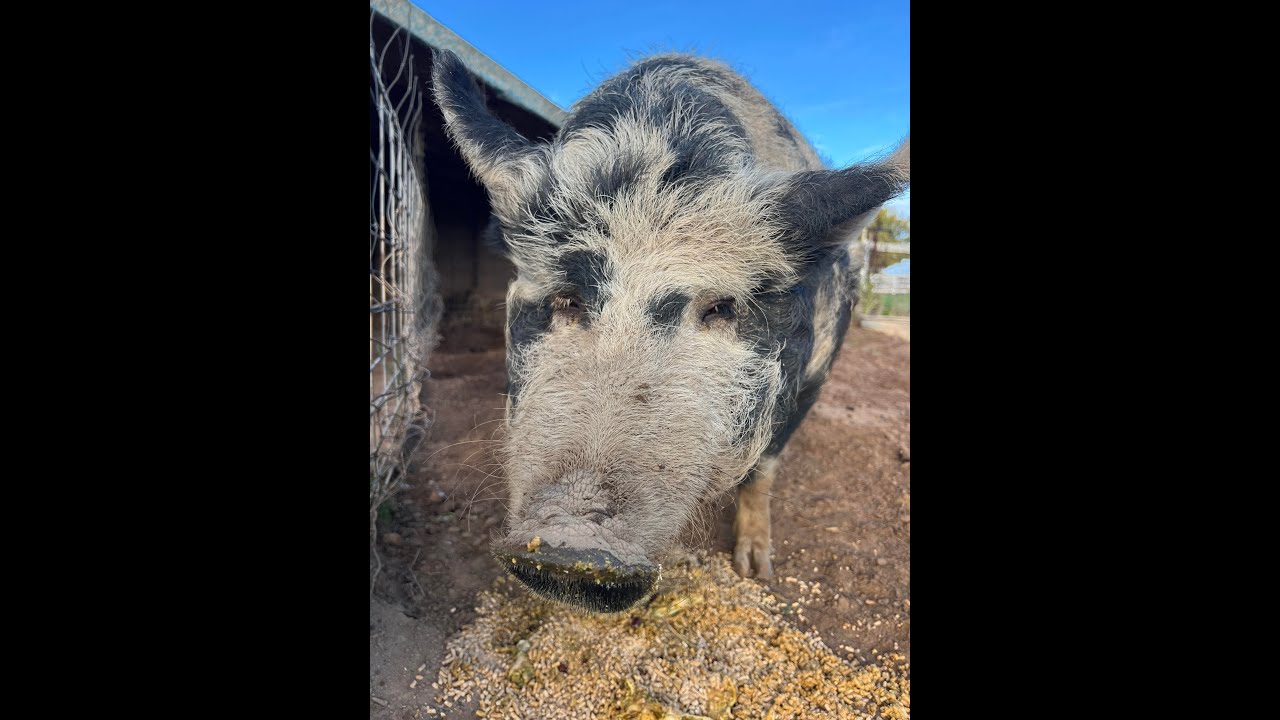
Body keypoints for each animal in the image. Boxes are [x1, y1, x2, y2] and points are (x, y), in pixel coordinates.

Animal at [431, 50, 908, 612]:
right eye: (567, 300)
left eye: (721, 308)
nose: (572, 541)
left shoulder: (812, 376)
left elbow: (763, 468)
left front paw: (755, 570)